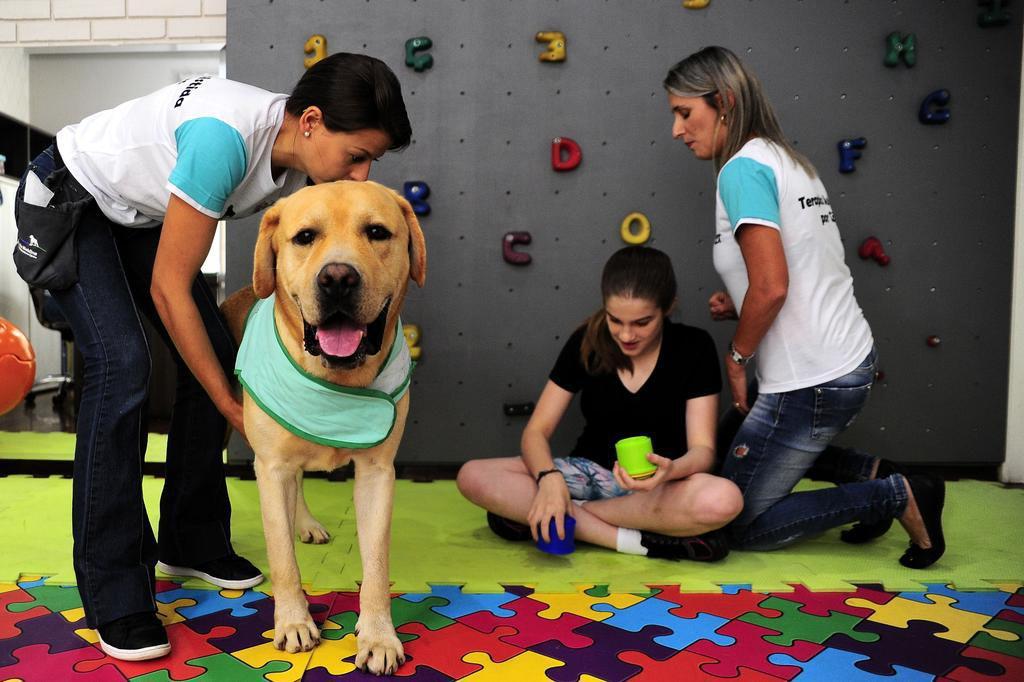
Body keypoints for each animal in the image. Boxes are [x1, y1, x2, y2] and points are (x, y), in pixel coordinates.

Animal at [224, 180, 428, 675]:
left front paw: (378, 636)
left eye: (377, 232)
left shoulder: (378, 473)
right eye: (304, 237)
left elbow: (375, 565)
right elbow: (283, 559)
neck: (336, 379)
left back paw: (308, 523)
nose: (337, 278)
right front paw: (294, 621)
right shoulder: (270, 467)